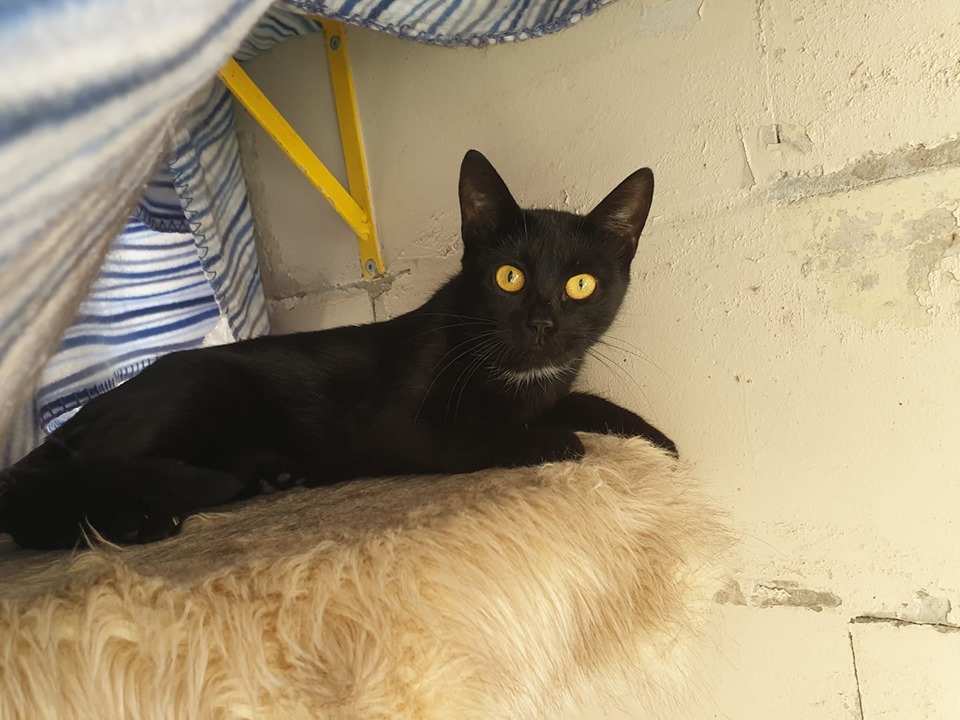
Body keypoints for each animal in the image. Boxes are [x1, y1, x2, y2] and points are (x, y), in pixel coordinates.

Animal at [0, 150, 676, 551]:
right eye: (508, 277)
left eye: (580, 285)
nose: (540, 323)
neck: (519, 374)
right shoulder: (399, 426)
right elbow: (482, 434)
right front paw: (554, 441)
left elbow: (581, 400)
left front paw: (655, 439)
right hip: (193, 390)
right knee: (47, 490)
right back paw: (133, 520)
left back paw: (273, 477)